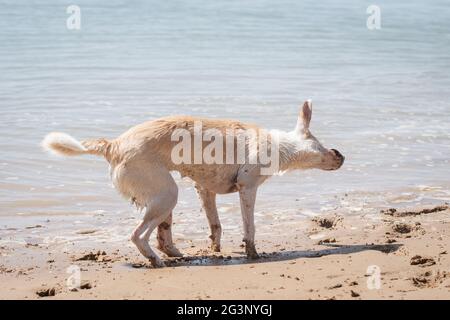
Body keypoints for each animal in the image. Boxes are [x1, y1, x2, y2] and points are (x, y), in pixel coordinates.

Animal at [43, 100, 344, 268]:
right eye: (322, 147)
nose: (341, 155)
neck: (278, 145)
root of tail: (113, 145)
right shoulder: (248, 189)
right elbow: (250, 228)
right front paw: (252, 254)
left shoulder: (205, 190)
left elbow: (216, 225)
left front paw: (215, 249)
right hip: (167, 195)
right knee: (138, 236)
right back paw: (155, 261)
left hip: (164, 200)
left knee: (162, 237)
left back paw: (177, 254)